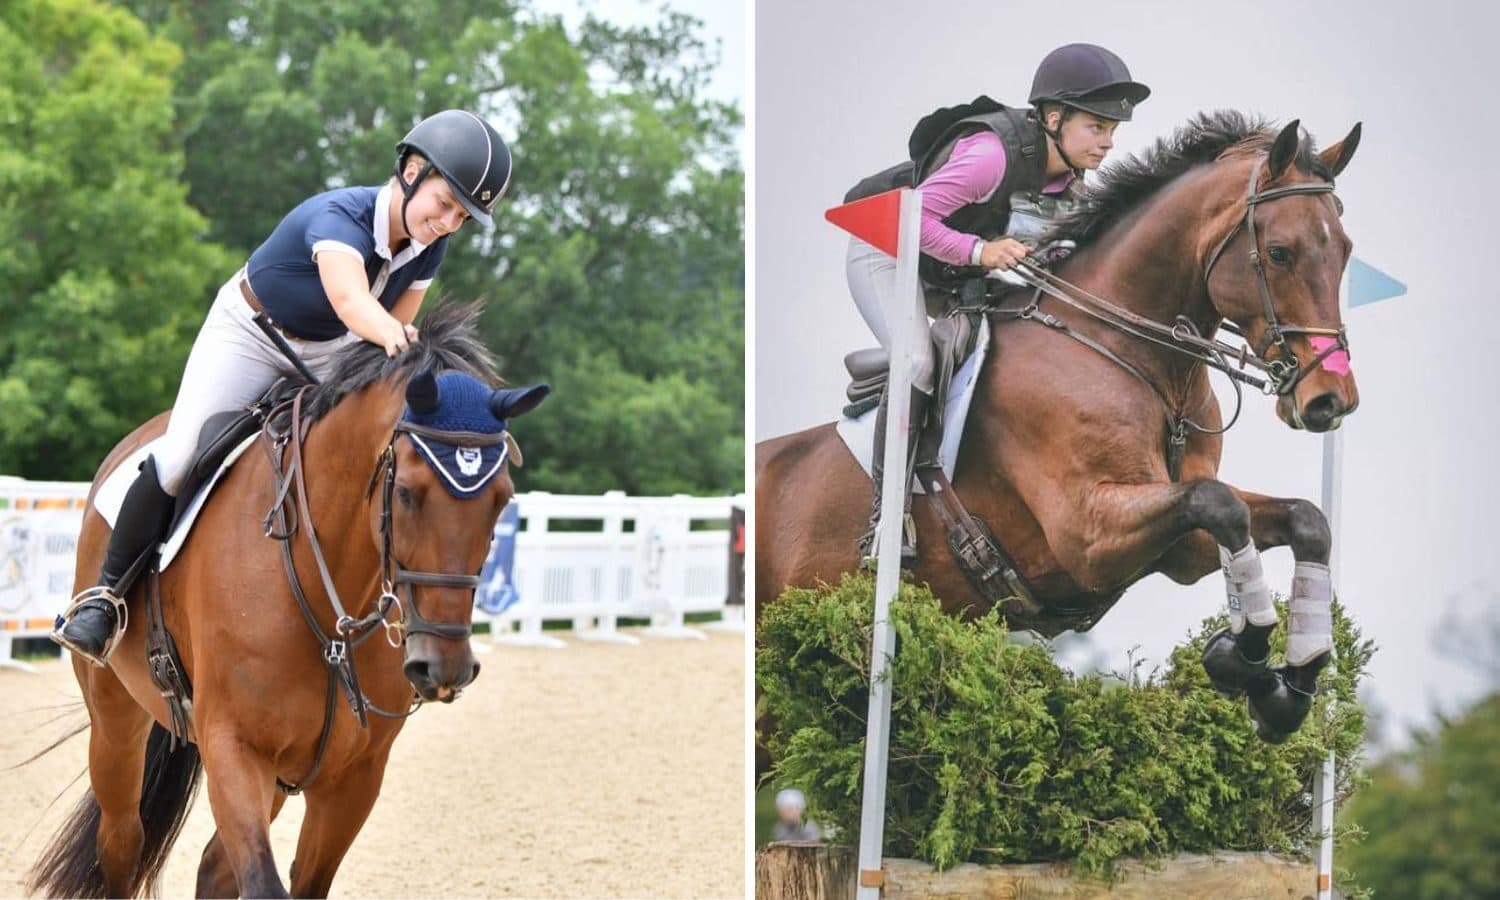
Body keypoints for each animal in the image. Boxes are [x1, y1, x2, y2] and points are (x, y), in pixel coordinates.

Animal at [28, 302, 548, 898]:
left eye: (502, 501)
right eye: (407, 493)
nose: (444, 668)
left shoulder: (354, 778)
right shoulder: (234, 748)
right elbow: (261, 880)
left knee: (212, 863)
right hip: (116, 716)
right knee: (121, 841)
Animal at [757, 112, 1362, 746]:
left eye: (1345, 251)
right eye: (1279, 252)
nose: (1330, 400)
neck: (1130, 351)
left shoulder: (1180, 547)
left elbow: (1299, 520)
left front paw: (1287, 684)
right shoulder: (1088, 533)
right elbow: (1219, 504)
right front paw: (1243, 655)